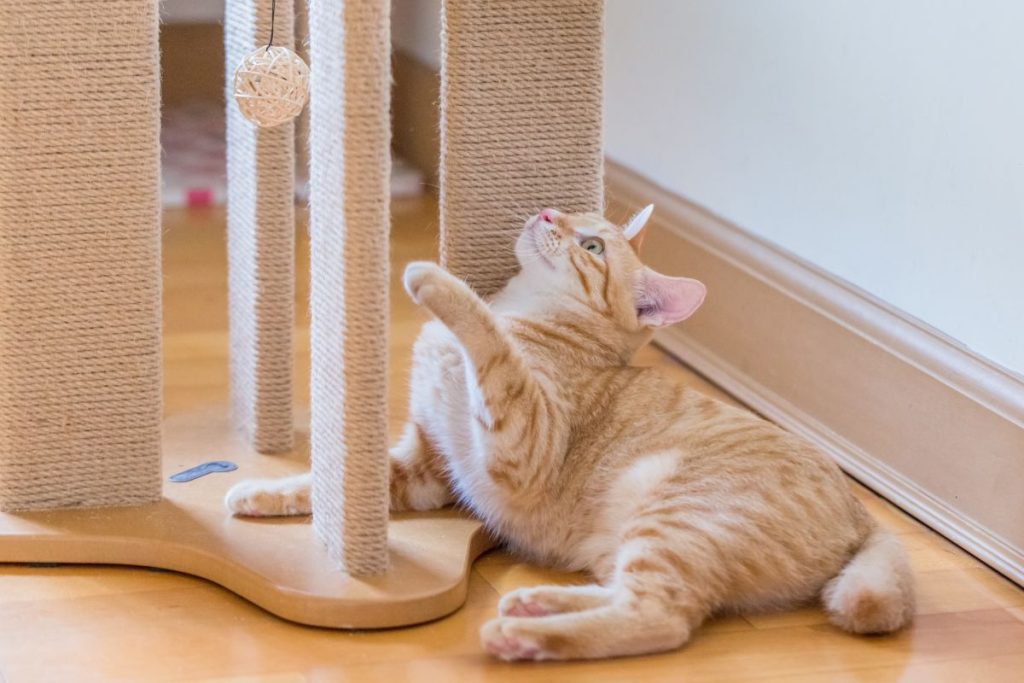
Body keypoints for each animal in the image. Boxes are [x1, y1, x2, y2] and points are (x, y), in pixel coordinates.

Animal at [228, 204, 917, 663]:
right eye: (580, 216)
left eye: (592, 245)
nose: (547, 210)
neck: (528, 313)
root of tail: (863, 517)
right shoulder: (427, 467)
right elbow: (336, 480)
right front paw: (262, 494)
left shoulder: (520, 440)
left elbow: (487, 339)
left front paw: (437, 283)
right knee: (631, 597)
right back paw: (538, 604)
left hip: (676, 518)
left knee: (661, 618)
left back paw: (528, 636)